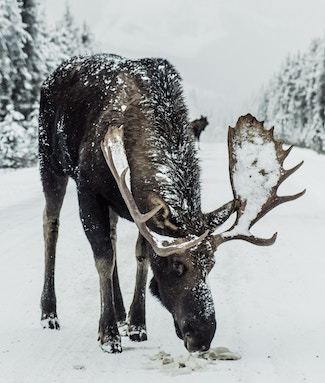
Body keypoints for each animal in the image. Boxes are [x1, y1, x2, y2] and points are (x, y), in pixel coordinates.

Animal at [38, 53, 304, 354]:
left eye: (211, 265)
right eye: (177, 266)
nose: (202, 337)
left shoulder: (138, 208)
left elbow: (141, 255)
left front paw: (137, 324)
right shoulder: (88, 188)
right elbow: (103, 257)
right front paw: (108, 335)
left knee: (113, 235)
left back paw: (119, 312)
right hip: (50, 162)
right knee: (51, 224)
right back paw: (49, 313)